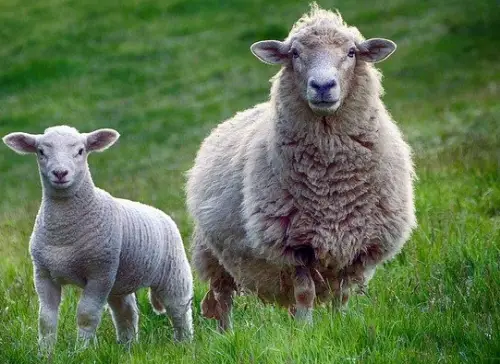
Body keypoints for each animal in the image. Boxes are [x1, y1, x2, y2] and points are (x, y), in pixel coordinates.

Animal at [1, 125, 193, 352]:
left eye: (80, 151)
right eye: (41, 152)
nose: (60, 173)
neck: (63, 233)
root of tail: (161, 214)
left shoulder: (99, 273)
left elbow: (87, 315)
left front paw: (81, 351)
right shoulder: (43, 274)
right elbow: (45, 319)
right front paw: (45, 353)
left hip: (173, 272)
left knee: (179, 309)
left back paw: (184, 344)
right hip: (119, 281)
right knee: (126, 313)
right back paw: (127, 347)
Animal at [186, 2, 416, 332]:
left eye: (351, 52)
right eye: (295, 53)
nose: (322, 86)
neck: (332, 183)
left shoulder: (358, 244)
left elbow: (343, 295)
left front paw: (339, 324)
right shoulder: (294, 246)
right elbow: (305, 293)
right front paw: (305, 331)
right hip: (212, 253)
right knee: (223, 296)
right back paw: (226, 334)